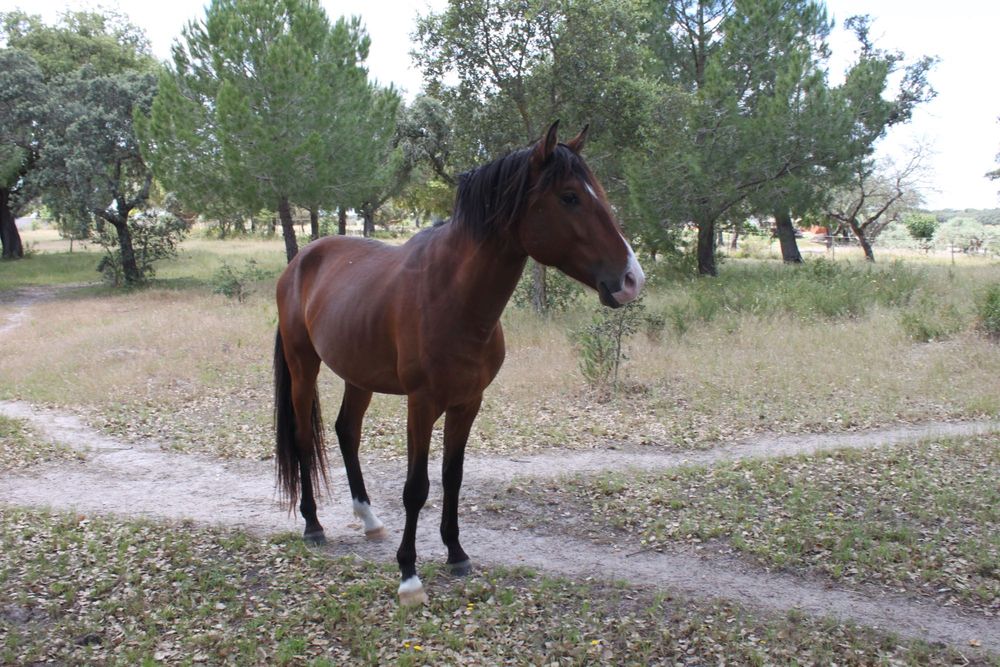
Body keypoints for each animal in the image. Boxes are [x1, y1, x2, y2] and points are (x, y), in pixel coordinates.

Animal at [273, 121, 645, 605]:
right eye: (569, 197)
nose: (631, 279)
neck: (452, 295)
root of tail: (300, 261)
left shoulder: (468, 403)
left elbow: (453, 477)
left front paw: (456, 553)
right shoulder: (422, 404)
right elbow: (416, 488)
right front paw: (409, 575)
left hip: (360, 375)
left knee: (346, 432)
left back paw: (369, 519)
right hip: (304, 366)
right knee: (303, 436)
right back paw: (314, 525)